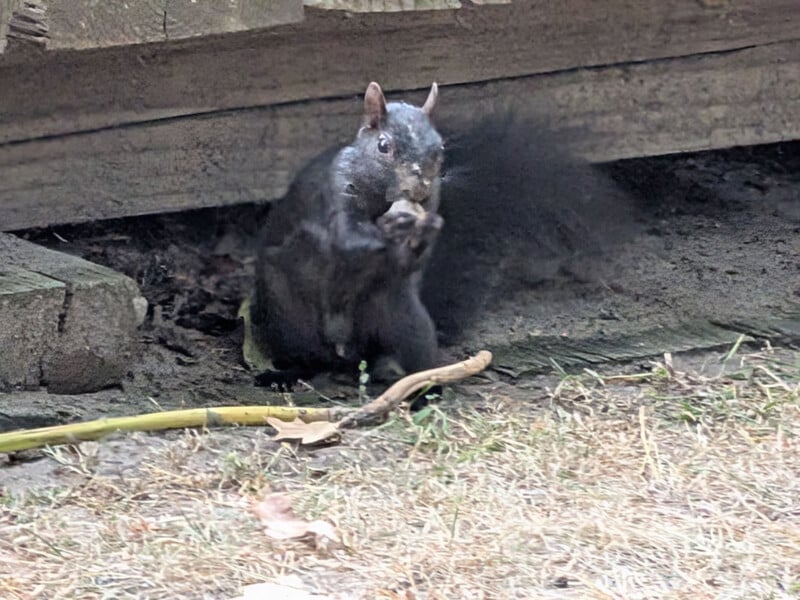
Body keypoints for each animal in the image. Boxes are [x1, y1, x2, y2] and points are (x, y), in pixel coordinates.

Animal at [250, 81, 636, 384]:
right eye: (384, 146)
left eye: (440, 149)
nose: (419, 189)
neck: (380, 198)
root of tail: (348, 349)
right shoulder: (334, 191)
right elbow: (347, 238)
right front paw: (392, 227)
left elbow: (407, 259)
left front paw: (426, 229)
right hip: (287, 315)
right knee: (307, 357)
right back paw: (285, 374)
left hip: (404, 318)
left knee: (410, 356)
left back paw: (417, 386)